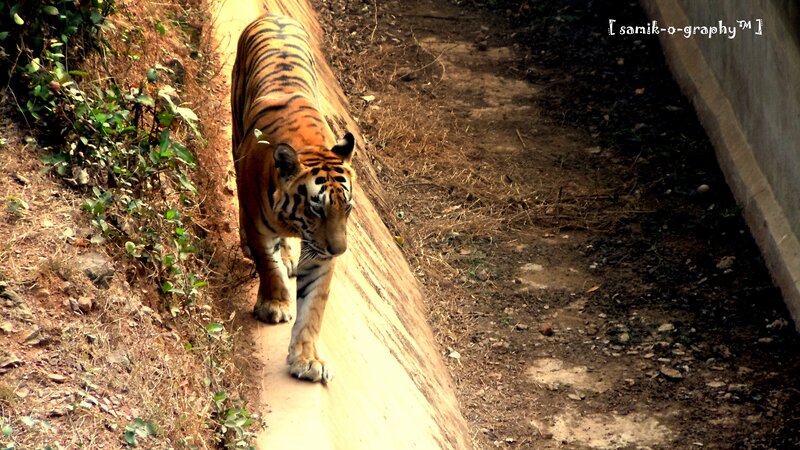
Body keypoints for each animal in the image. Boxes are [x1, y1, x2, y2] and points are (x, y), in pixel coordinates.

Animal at [231, 14, 355, 384]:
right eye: (317, 209)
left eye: (346, 209)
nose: (339, 250)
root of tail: (274, 15)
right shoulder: (259, 225)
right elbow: (267, 266)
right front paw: (274, 305)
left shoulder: (319, 252)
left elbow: (313, 306)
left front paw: (307, 359)